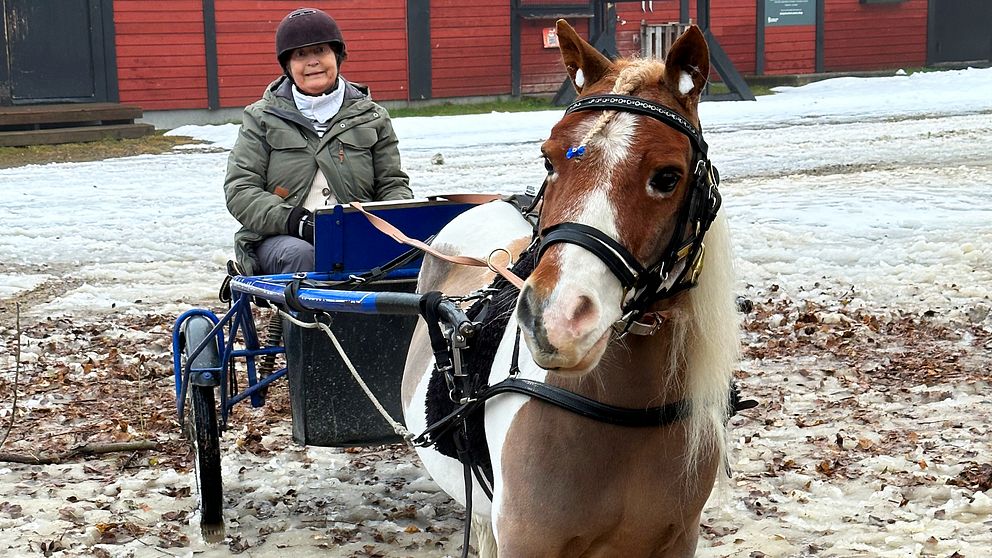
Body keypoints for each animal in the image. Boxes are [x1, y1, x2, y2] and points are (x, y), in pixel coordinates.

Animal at [402, 19, 736, 556]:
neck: (621, 414)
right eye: (549, 160)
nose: (556, 320)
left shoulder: (677, 538)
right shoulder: (525, 539)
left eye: (668, 176)